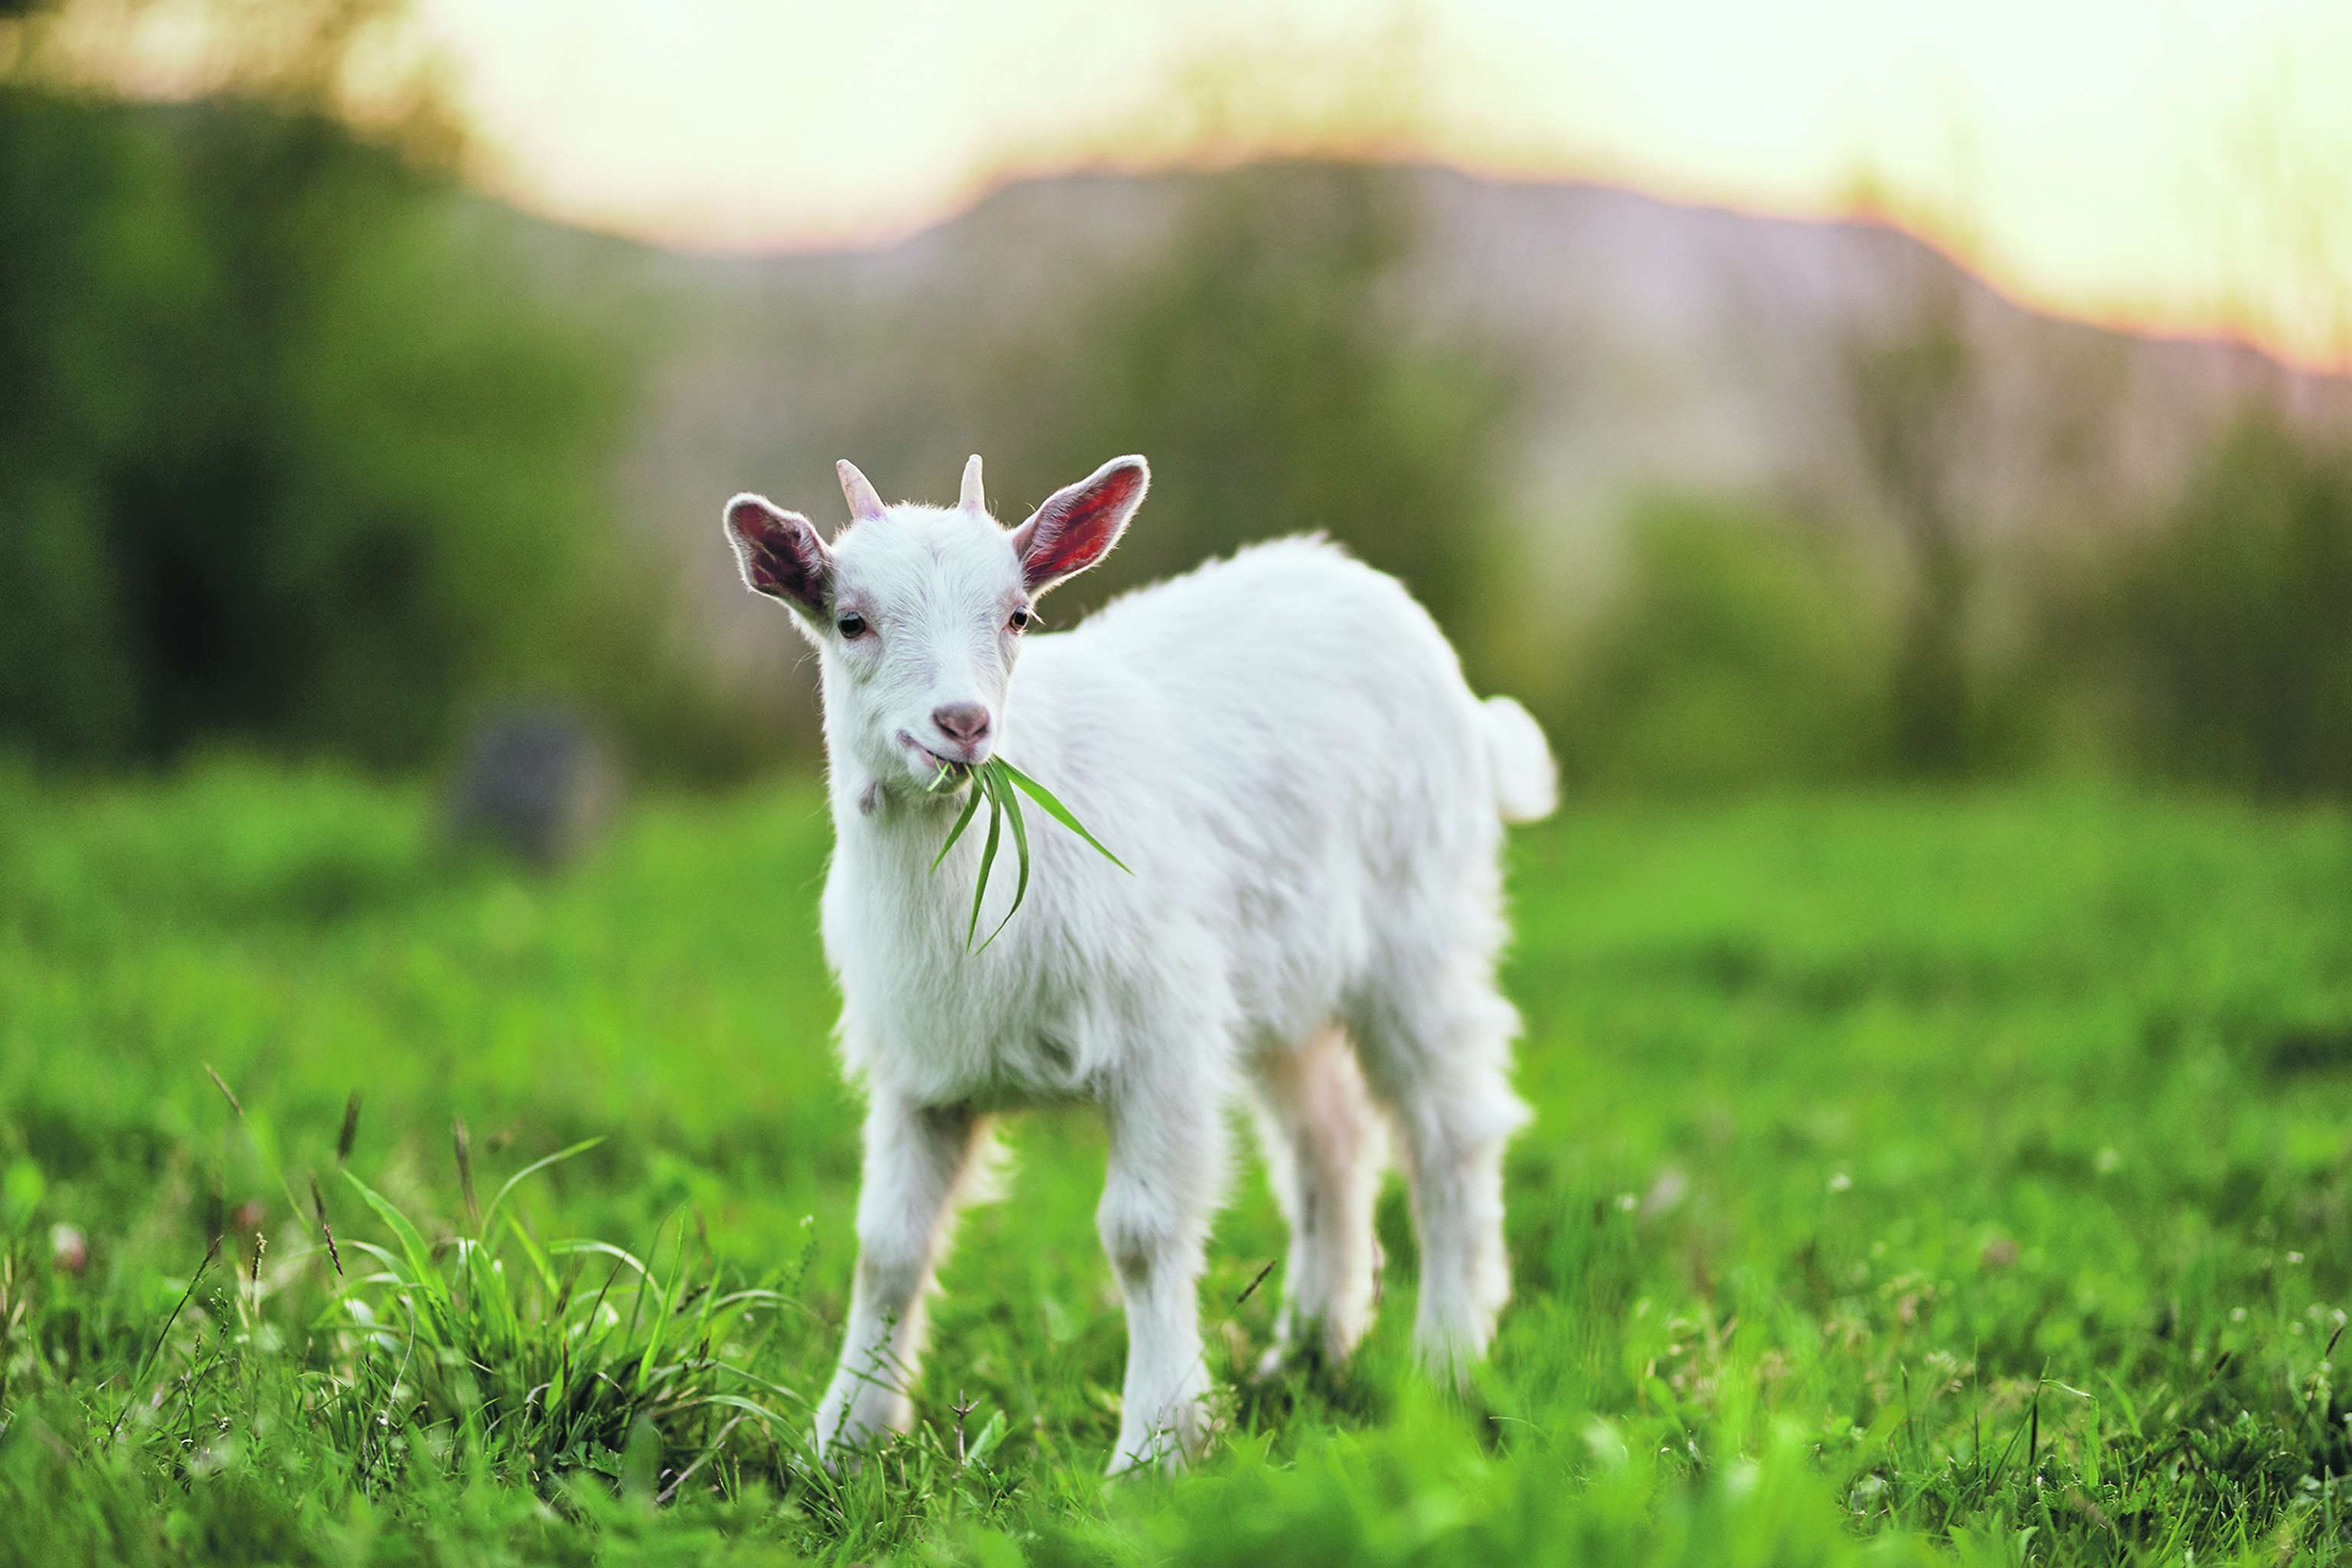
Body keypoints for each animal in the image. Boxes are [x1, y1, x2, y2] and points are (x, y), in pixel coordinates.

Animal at [722, 453, 1556, 1471]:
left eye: (1018, 616)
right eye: (851, 619)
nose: (962, 723)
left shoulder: (1160, 1040)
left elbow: (1142, 1234)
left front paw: (1157, 1445)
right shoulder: (922, 1070)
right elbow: (889, 1244)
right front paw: (843, 1435)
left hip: (1420, 932)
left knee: (1449, 1130)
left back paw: (1447, 1357)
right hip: (1281, 982)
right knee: (1330, 1138)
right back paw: (1309, 1350)